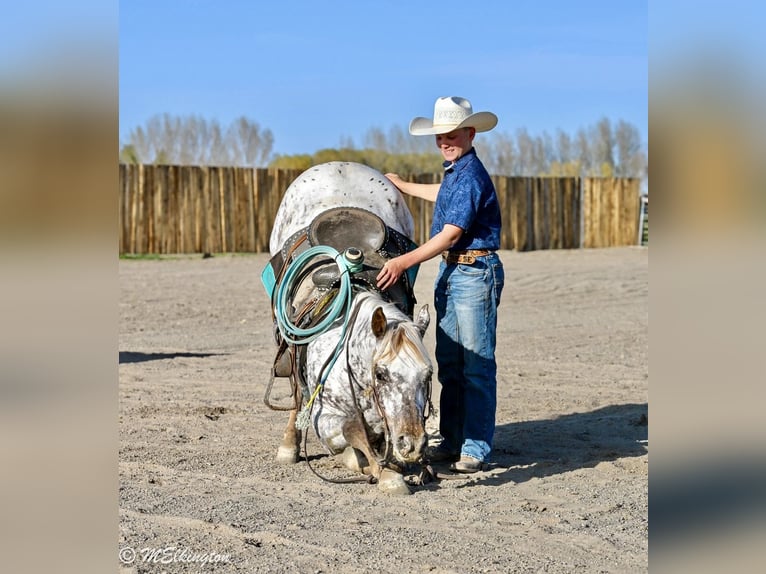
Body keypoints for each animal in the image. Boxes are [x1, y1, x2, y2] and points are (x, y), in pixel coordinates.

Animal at [263, 161, 433, 495]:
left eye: (428, 374)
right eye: (381, 374)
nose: (413, 444)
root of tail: (340, 165)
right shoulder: (325, 418)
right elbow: (351, 436)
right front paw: (383, 472)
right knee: (295, 393)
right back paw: (289, 446)